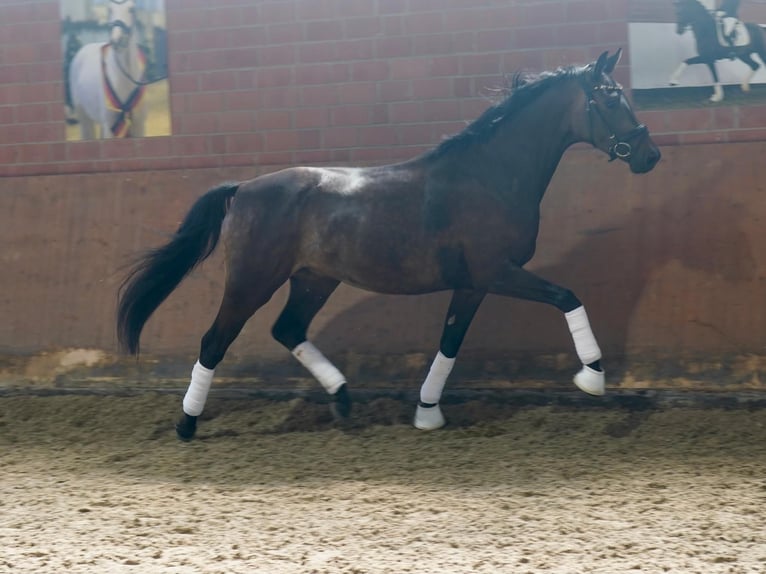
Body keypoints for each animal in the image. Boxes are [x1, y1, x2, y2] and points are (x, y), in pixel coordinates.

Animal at [69, 0, 148, 139]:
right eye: (109, 9)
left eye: (131, 9)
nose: (117, 40)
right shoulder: (110, 128)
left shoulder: (139, 126)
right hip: (84, 117)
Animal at [117, 50, 664, 446]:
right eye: (610, 98)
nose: (649, 155)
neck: (490, 176)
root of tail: (244, 188)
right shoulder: (498, 272)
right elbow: (568, 297)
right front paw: (593, 377)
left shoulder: (473, 284)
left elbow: (449, 343)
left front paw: (427, 414)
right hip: (252, 280)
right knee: (215, 341)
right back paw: (187, 425)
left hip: (314, 279)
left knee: (287, 328)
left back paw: (342, 399)